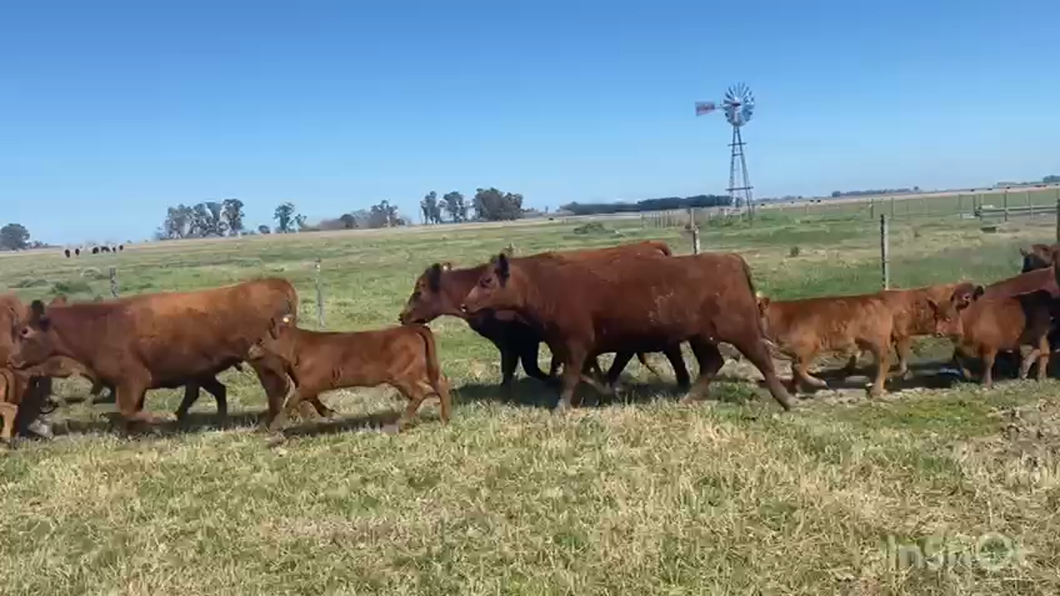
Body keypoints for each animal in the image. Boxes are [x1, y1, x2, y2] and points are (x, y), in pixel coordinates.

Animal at [8, 277, 305, 426]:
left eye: (25, 331)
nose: (11, 359)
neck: (100, 326)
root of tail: (274, 282)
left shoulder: (132, 380)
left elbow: (129, 409)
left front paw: (163, 419)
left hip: (263, 363)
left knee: (277, 388)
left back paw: (268, 421)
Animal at [245, 311, 449, 430]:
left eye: (260, 340)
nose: (249, 351)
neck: (297, 349)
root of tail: (410, 329)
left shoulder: (309, 383)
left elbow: (291, 401)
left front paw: (272, 428)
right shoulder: (307, 384)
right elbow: (312, 400)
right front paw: (330, 413)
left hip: (402, 375)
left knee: (420, 392)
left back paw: (399, 423)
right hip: (422, 370)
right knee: (440, 384)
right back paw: (445, 418)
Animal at [460, 249, 792, 407]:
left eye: (486, 281)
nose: (464, 305)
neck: (546, 285)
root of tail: (731, 259)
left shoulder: (575, 342)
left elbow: (571, 376)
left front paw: (561, 407)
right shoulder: (569, 346)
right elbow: (584, 373)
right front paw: (607, 390)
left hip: (741, 331)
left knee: (762, 359)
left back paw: (785, 400)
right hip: (702, 337)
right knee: (712, 363)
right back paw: (688, 398)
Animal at [754, 290, 894, 394]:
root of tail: (875, 298)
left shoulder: (808, 348)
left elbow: (798, 368)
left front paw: (819, 383)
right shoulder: (795, 353)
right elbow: (794, 369)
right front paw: (795, 388)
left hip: (878, 342)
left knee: (885, 360)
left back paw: (876, 390)